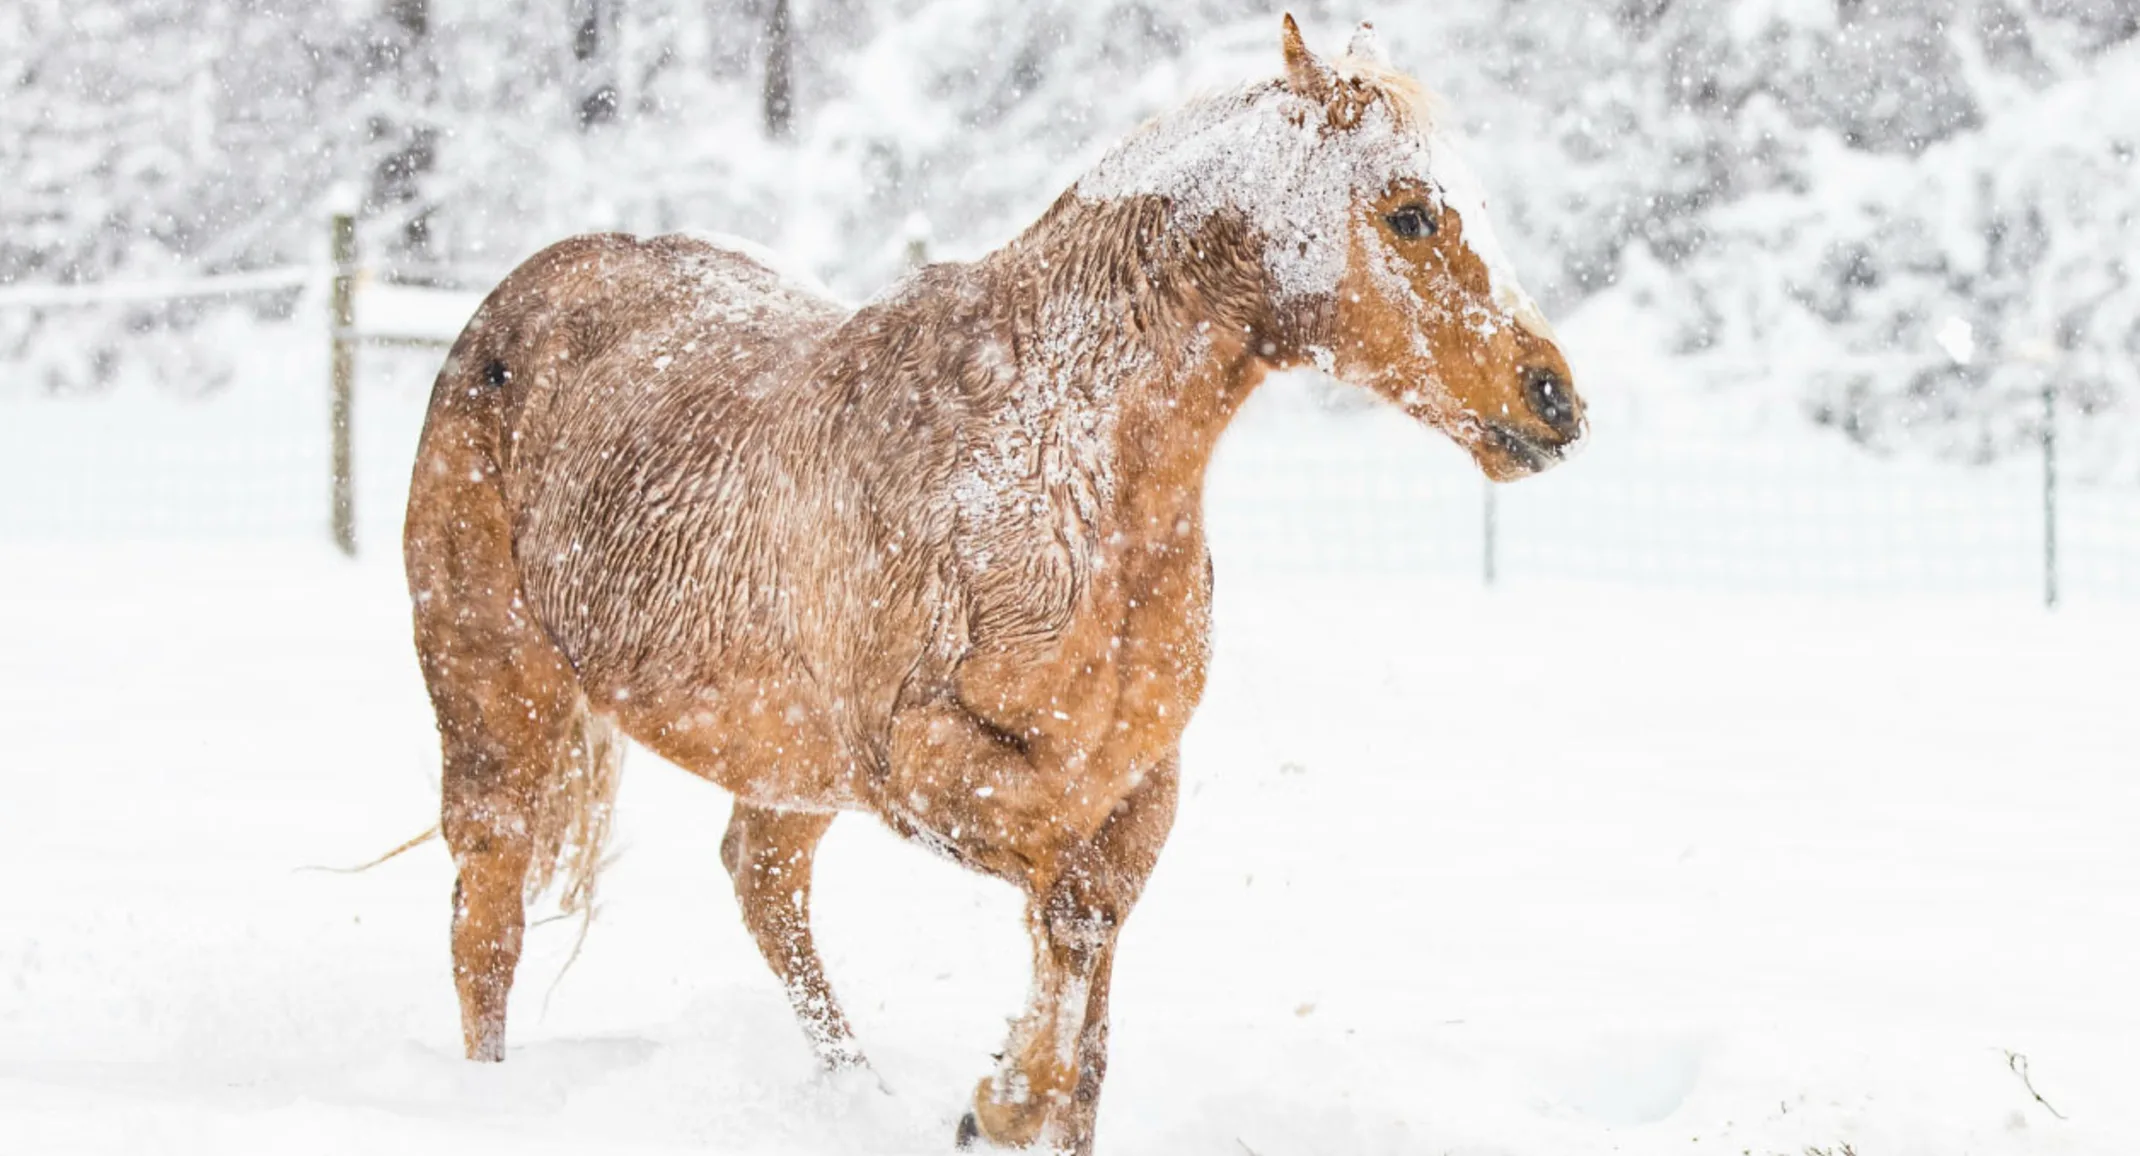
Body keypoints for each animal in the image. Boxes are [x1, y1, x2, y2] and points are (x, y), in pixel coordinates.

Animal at [402, 13, 1583, 1147]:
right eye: (1410, 215)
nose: (1555, 399)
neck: (1054, 469)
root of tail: (516, 295)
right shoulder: (928, 765)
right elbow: (1065, 902)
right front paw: (1001, 1097)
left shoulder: (1134, 783)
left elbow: (1089, 966)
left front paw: (1013, 1097)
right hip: (496, 703)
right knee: (487, 918)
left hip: (787, 764)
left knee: (763, 884)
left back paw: (857, 1094)